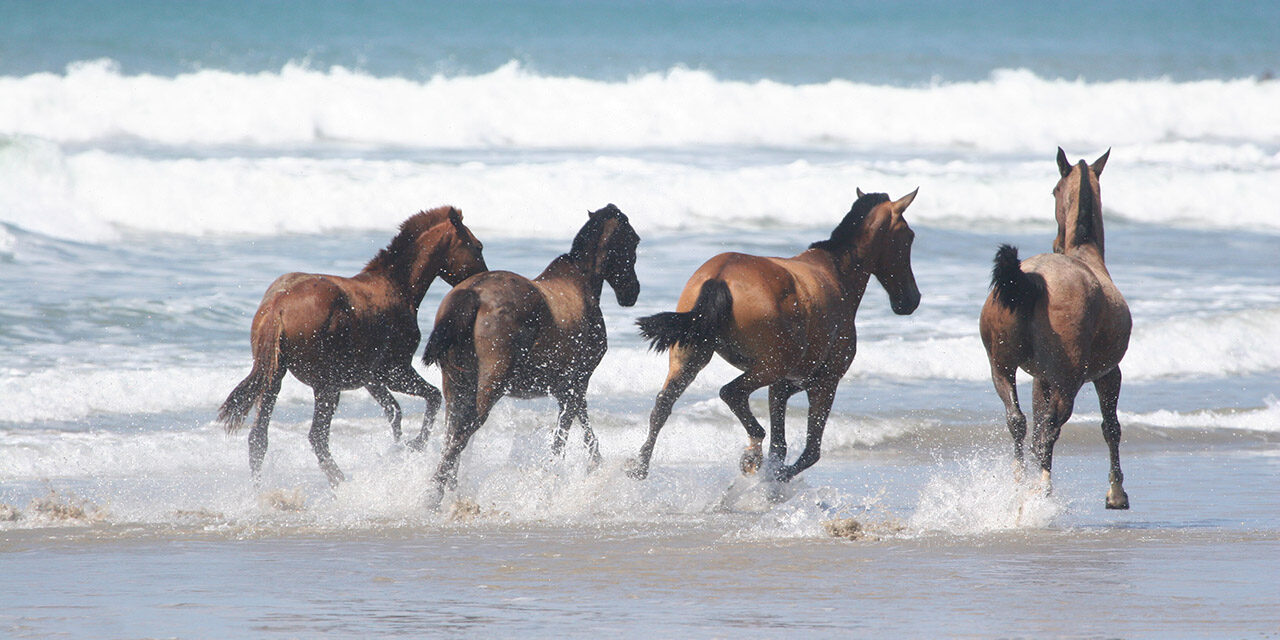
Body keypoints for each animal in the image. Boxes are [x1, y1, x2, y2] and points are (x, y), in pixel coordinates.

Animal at [218, 206, 483, 483]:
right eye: (478, 246)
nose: (481, 278)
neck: (398, 287)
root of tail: (278, 307)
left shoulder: (370, 378)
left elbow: (395, 412)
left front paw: (399, 450)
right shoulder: (394, 371)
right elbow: (432, 397)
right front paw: (414, 445)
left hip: (273, 378)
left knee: (259, 439)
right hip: (327, 386)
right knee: (317, 437)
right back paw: (341, 483)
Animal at [419, 203, 640, 494]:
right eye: (634, 241)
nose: (632, 292)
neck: (581, 283)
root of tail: (472, 294)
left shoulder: (567, 388)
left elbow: (585, 432)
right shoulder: (576, 382)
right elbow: (563, 439)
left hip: (455, 385)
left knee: (451, 435)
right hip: (489, 387)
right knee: (461, 435)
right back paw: (436, 491)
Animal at [622, 192, 916, 481]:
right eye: (909, 236)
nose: (911, 300)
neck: (836, 273)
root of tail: (719, 276)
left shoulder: (783, 385)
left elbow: (781, 447)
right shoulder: (824, 383)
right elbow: (808, 452)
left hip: (692, 359)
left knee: (663, 406)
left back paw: (639, 467)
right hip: (769, 367)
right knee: (731, 393)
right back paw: (751, 453)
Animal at [977, 148, 1131, 509]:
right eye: (1055, 191)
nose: (1056, 241)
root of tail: (1031, 280)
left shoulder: (1039, 378)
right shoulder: (1109, 374)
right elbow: (1111, 427)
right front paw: (1116, 493)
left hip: (1002, 368)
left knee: (1018, 422)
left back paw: (1019, 483)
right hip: (1068, 381)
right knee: (1049, 428)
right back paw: (1042, 489)